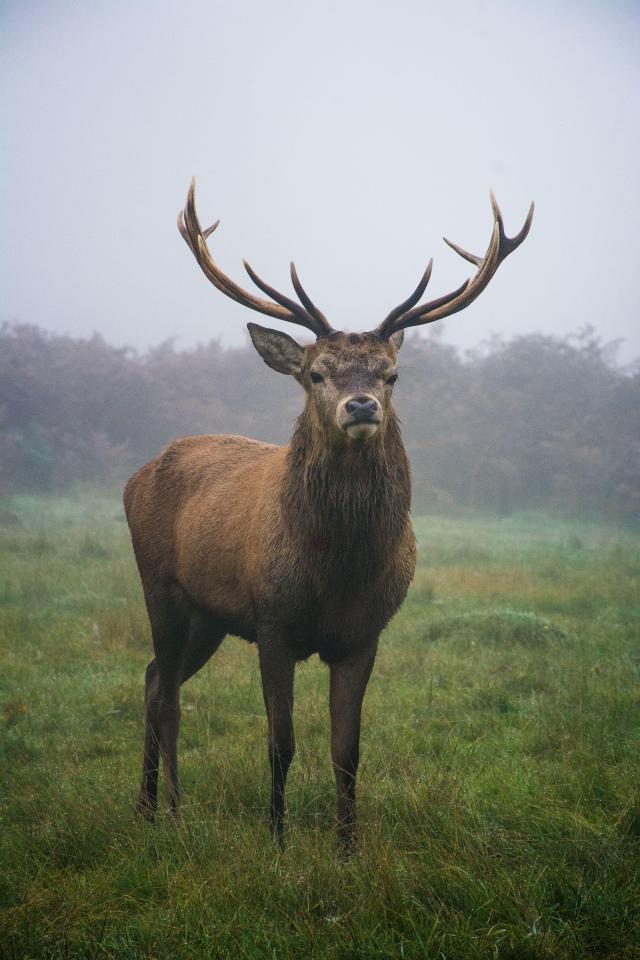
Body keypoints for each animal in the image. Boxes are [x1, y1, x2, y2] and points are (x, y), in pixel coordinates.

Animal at [122, 176, 532, 852]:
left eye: (392, 373)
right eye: (316, 373)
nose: (361, 405)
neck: (337, 570)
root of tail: (136, 475)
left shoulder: (365, 632)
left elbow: (348, 751)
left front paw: (346, 847)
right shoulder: (272, 620)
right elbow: (280, 743)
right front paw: (277, 840)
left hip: (209, 615)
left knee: (158, 677)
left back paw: (151, 807)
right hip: (161, 586)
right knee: (168, 694)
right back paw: (171, 810)